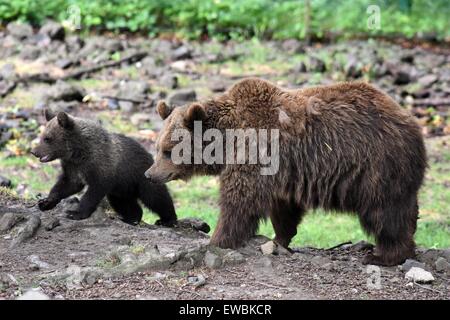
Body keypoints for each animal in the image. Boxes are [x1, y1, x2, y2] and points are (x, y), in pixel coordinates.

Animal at [146, 79, 428, 266]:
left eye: (169, 151)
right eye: (158, 147)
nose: (150, 174)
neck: (225, 141)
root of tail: (412, 123)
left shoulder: (254, 150)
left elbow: (239, 199)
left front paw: (218, 239)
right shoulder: (282, 173)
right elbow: (283, 208)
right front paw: (279, 239)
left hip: (377, 166)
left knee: (385, 213)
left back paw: (383, 255)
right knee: (405, 209)